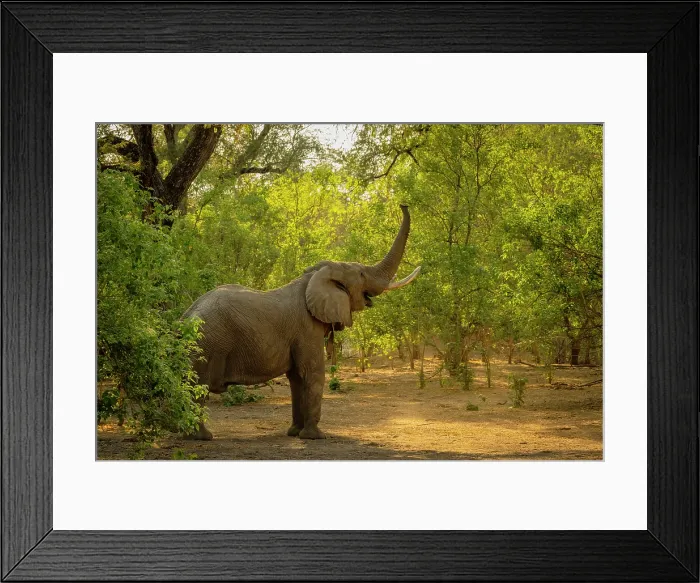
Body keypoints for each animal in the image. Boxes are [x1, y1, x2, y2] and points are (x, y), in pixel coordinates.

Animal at [182, 204, 421, 440]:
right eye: (361, 274)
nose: (403, 204)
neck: (314, 277)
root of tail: (186, 317)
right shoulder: (306, 328)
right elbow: (313, 372)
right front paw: (315, 437)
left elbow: (296, 377)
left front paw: (295, 433)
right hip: (207, 344)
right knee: (197, 388)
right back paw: (202, 437)